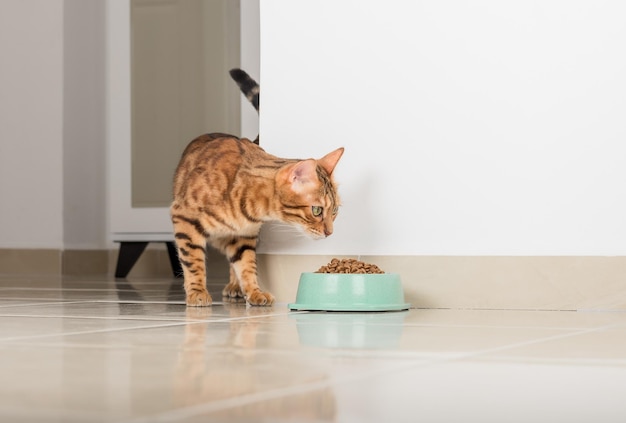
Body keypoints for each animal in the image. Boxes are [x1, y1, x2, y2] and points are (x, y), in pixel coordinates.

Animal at [171, 70, 342, 308]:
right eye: (317, 210)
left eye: (335, 211)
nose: (330, 233)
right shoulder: (185, 218)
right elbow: (193, 259)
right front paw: (197, 291)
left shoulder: (244, 236)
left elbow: (246, 265)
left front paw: (254, 291)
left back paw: (235, 287)